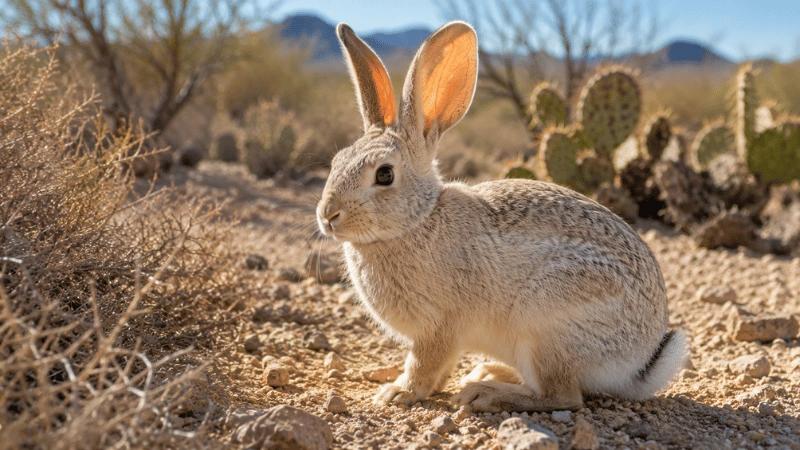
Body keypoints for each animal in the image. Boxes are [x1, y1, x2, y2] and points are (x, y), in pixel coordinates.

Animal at [315, 21, 688, 412]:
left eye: (384, 174)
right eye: (336, 161)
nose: (328, 216)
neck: (418, 220)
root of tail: (638, 365)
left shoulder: (440, 327)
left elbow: (424, 364)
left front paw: (398, 392)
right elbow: (439, 367)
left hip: (545, 325)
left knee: (563, 396)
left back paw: (486, 392)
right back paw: (488, 373)